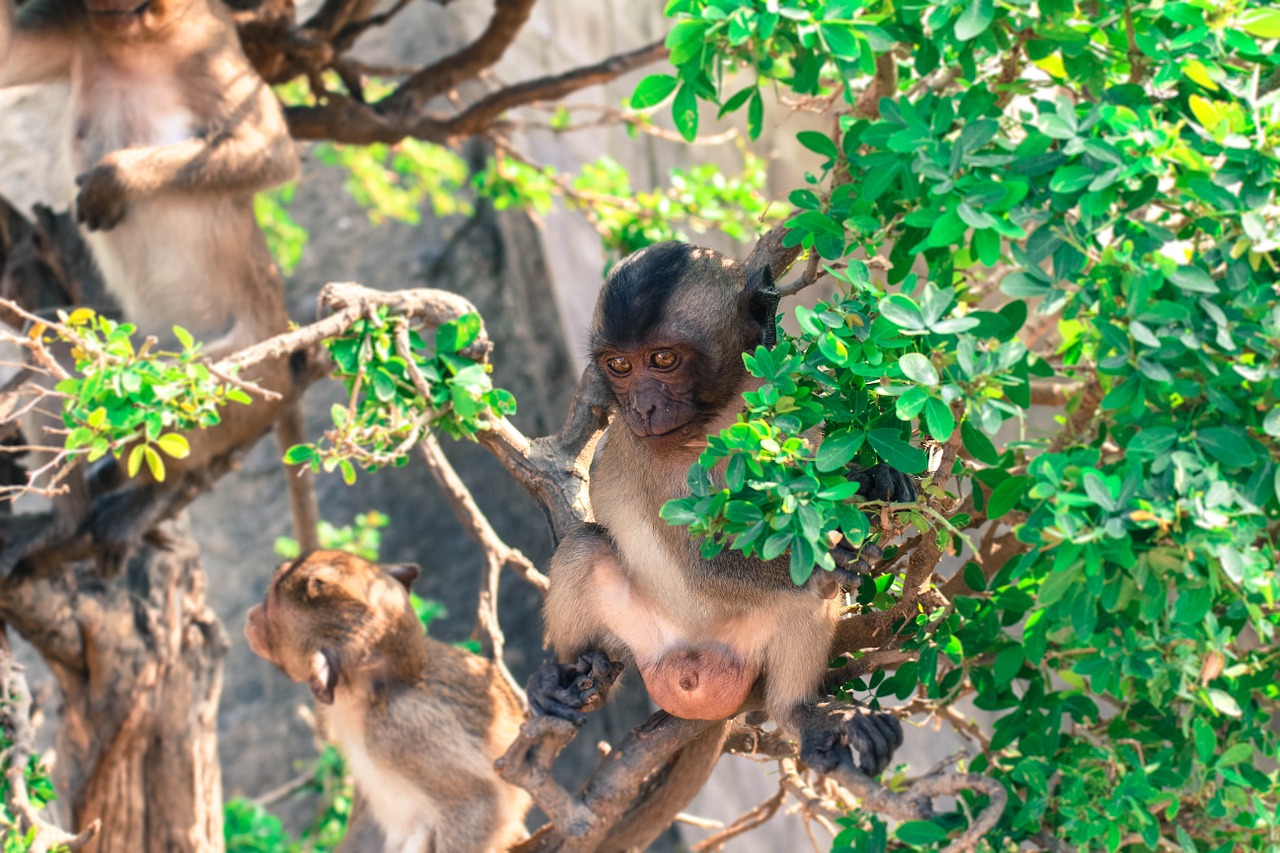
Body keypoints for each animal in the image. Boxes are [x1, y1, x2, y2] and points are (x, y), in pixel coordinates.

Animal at [0, 0, 320, 563]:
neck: (140, 40)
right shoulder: (74, 30)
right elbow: (9, 53)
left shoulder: (212, 48)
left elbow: (272, 152)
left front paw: (115, 177)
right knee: (48, 349)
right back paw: (65, 520)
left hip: (250, 376)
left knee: (177, 394)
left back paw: (153, 490)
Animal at [527, 239, 911, 778]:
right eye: (620, 366)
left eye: (663, 359)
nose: (643, 408)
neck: (714, 421)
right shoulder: (659, 468)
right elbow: (698, 568)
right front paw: (831, 559)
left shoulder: (783, 403)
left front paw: (875, 477)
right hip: (645, 639)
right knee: (586, 546)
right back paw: (562, 675)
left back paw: (800, 711)